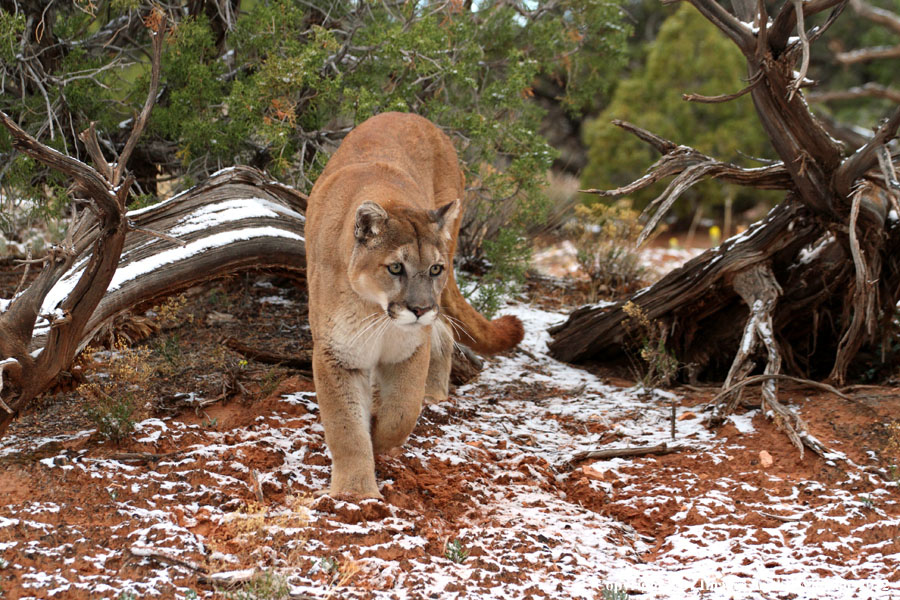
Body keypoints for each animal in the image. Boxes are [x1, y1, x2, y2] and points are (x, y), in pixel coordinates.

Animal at [306, 111, 524, 496]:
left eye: (434, 268)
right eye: (396, 267)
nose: (420, 308)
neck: (375, 311)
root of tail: (410, 114)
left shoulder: (410, 347)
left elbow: (401, 413)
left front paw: (378, 435)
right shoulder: (336, 353)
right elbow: (345, 429)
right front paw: (356, 493)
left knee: (445, 332)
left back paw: (434, 394)